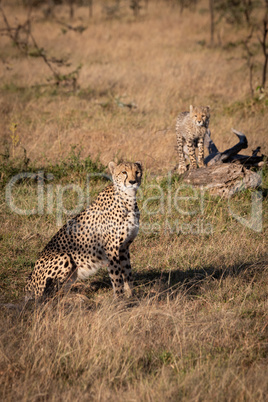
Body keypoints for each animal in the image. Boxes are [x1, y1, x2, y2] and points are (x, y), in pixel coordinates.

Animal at [25, 162, 142, 300]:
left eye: (137, 172)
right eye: (124, 172)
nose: (133, 181)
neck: (128, 199)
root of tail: (29, 282)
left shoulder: (124, 247)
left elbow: (128, 274)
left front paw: (132, 296)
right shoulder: (112, 249)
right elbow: (117, 277)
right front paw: (119, 299)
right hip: (64, 257)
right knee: (51, 295)